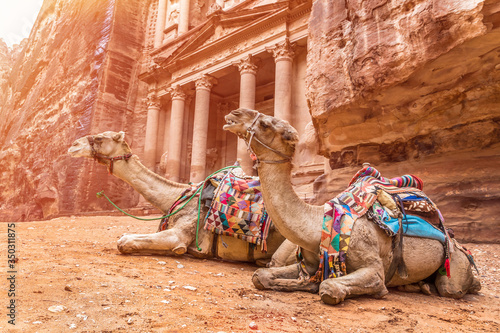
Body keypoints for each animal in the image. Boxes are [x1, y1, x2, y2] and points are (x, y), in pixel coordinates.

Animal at [224, 108, 480, 304]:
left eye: (265, 124)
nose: (234, 114)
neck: (317, 224)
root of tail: (452, 237)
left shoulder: (373, 266)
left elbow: (331, 287)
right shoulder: (308, 263)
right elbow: (260, 275)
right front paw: (304, 284)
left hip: (453, 263)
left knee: (452, 287)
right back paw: (419, 286)